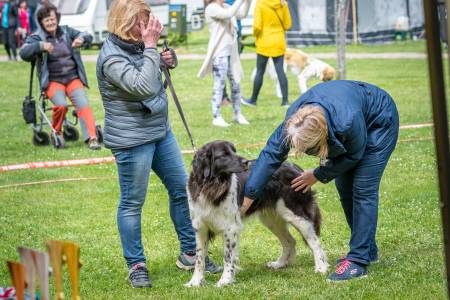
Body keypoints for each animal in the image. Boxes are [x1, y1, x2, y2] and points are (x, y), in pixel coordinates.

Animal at [185, 141, 328, 288]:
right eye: (224, 154)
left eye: (234, 151)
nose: (246, 162)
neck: (212, 185)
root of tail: (296, 167)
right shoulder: (200, 228)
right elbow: (199, 258)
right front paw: (195, 282)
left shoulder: (231, 228)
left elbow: (228, 257)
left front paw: (225, 280)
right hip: (272, 220)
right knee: (290, 241)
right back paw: (279, 264)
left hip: (295, 214)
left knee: (314, 241)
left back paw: (321, 268)